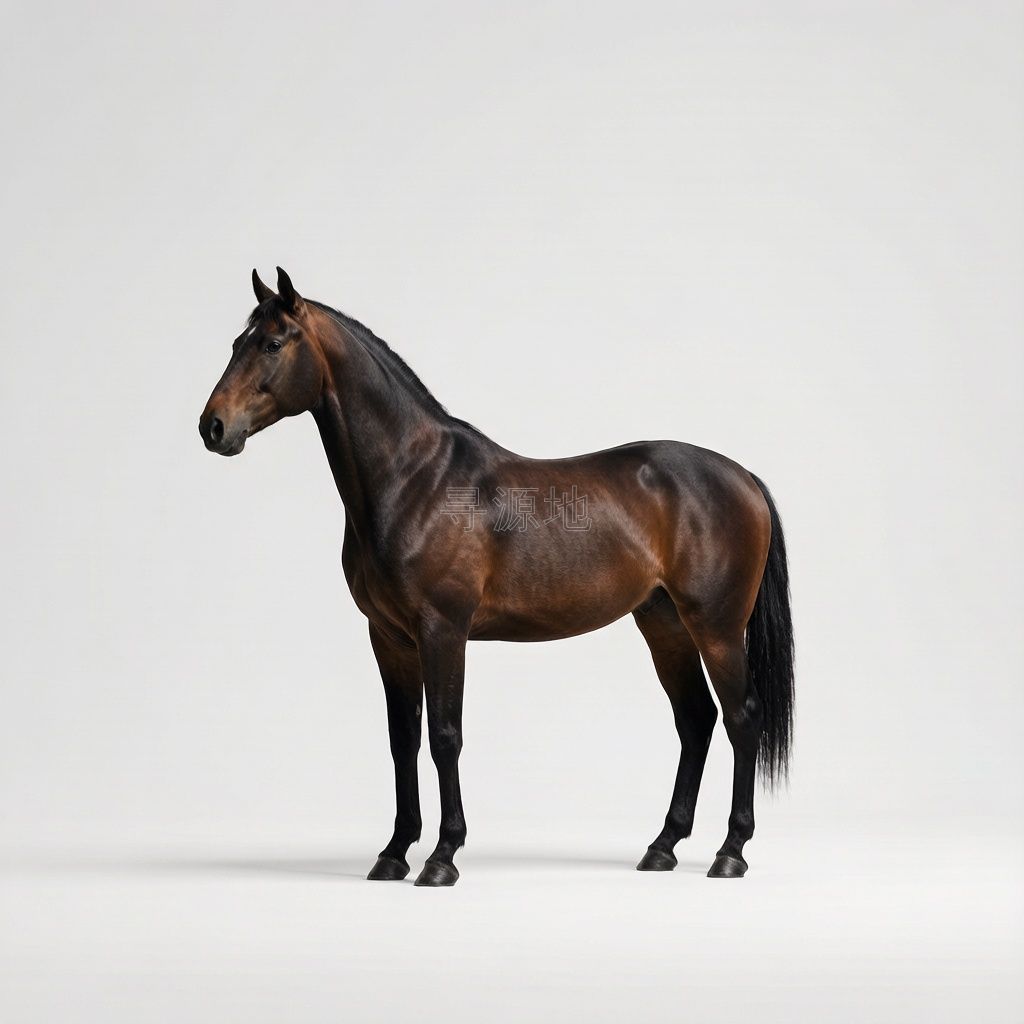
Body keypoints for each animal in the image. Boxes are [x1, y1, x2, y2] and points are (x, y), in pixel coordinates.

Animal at [198, 267, 795, 886]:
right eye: (237, 343)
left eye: (272, 344)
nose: (213, 427)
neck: (415, 480)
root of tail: (742, 477)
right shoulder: (388, 637)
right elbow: (402, 739)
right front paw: (393, 852)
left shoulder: (443, 630)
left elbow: (444, 737)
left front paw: (442, 857)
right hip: (664, 624)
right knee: (696, 719)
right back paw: (662, 847)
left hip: (717, 627)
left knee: (741, 718)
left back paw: (731, 852)